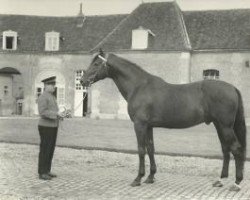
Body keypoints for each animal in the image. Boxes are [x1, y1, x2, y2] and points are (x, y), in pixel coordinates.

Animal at [80, 49, 246, 191]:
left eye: (96, 63)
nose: (82, 81)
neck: (139, 86)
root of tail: (232, 88)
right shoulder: (149, 126)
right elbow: (151, 148)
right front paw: (150, 177)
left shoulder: (139, 125)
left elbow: (141, 150)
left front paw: (138, 179)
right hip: (219, 125)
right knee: (226, 149)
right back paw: (220, 180)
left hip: (225, 126)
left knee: (236, 148)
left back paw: (236, 183)